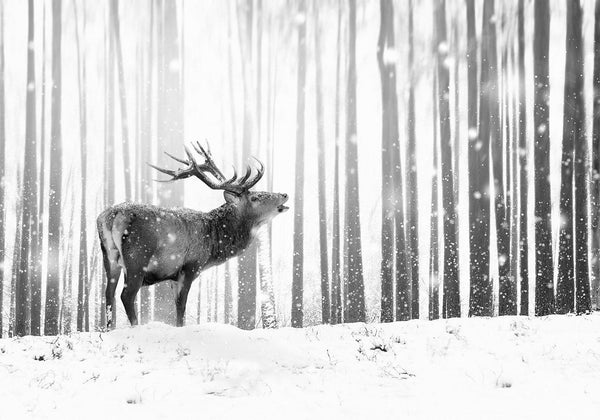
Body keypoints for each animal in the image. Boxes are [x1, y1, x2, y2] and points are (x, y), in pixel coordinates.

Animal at [96, 143, 288, 330]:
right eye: (255, 197)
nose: (284, 194)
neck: (213, 243)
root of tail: (112, 215)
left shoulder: (172, 275)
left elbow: (176, 305)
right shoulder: (190, 265)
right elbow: (181, 306)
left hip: (109, 256)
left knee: (109, 294)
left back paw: (109, 329)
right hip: (138, 256)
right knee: (126, 295)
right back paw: (135, 327)